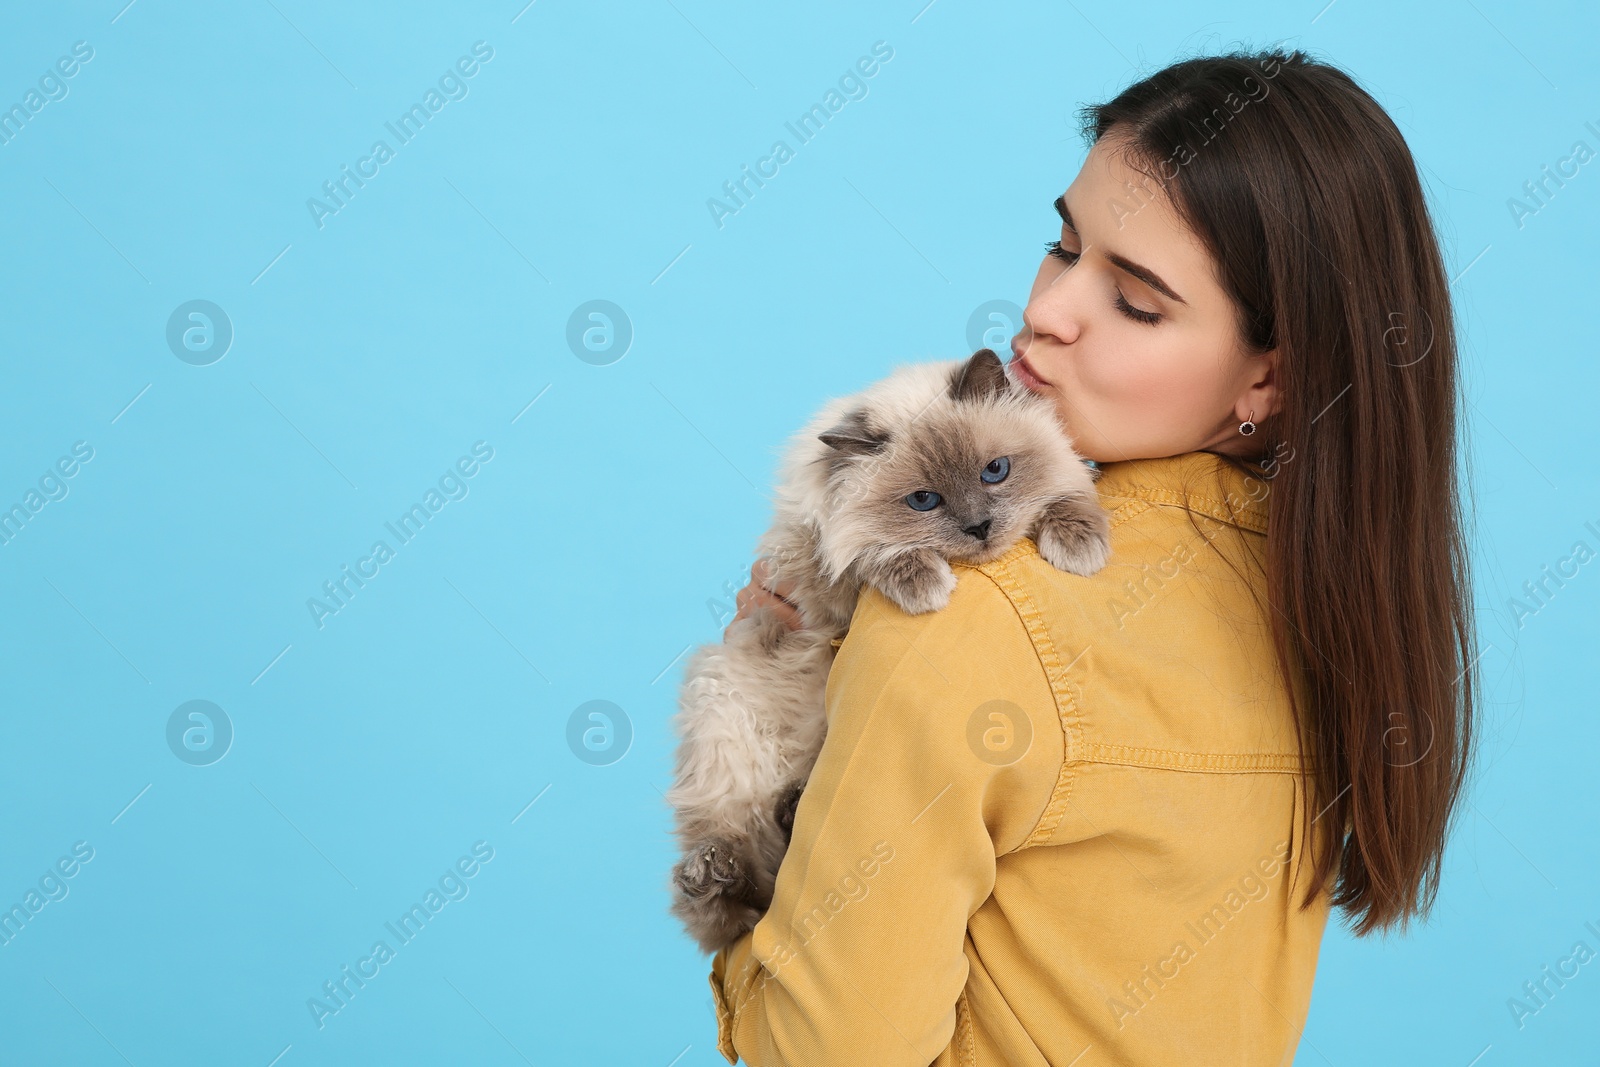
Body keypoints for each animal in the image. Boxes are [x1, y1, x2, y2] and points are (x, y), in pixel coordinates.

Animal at [668, 348, 1107, 953]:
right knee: (738, 904)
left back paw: (789, 810)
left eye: (995, 471)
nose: (980, 527)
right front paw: (925, 583)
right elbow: (869, 553)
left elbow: (1068, 490)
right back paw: (715, 871)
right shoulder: (821, 576)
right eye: (924, 501)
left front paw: (1079, 546)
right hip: (724, 711)